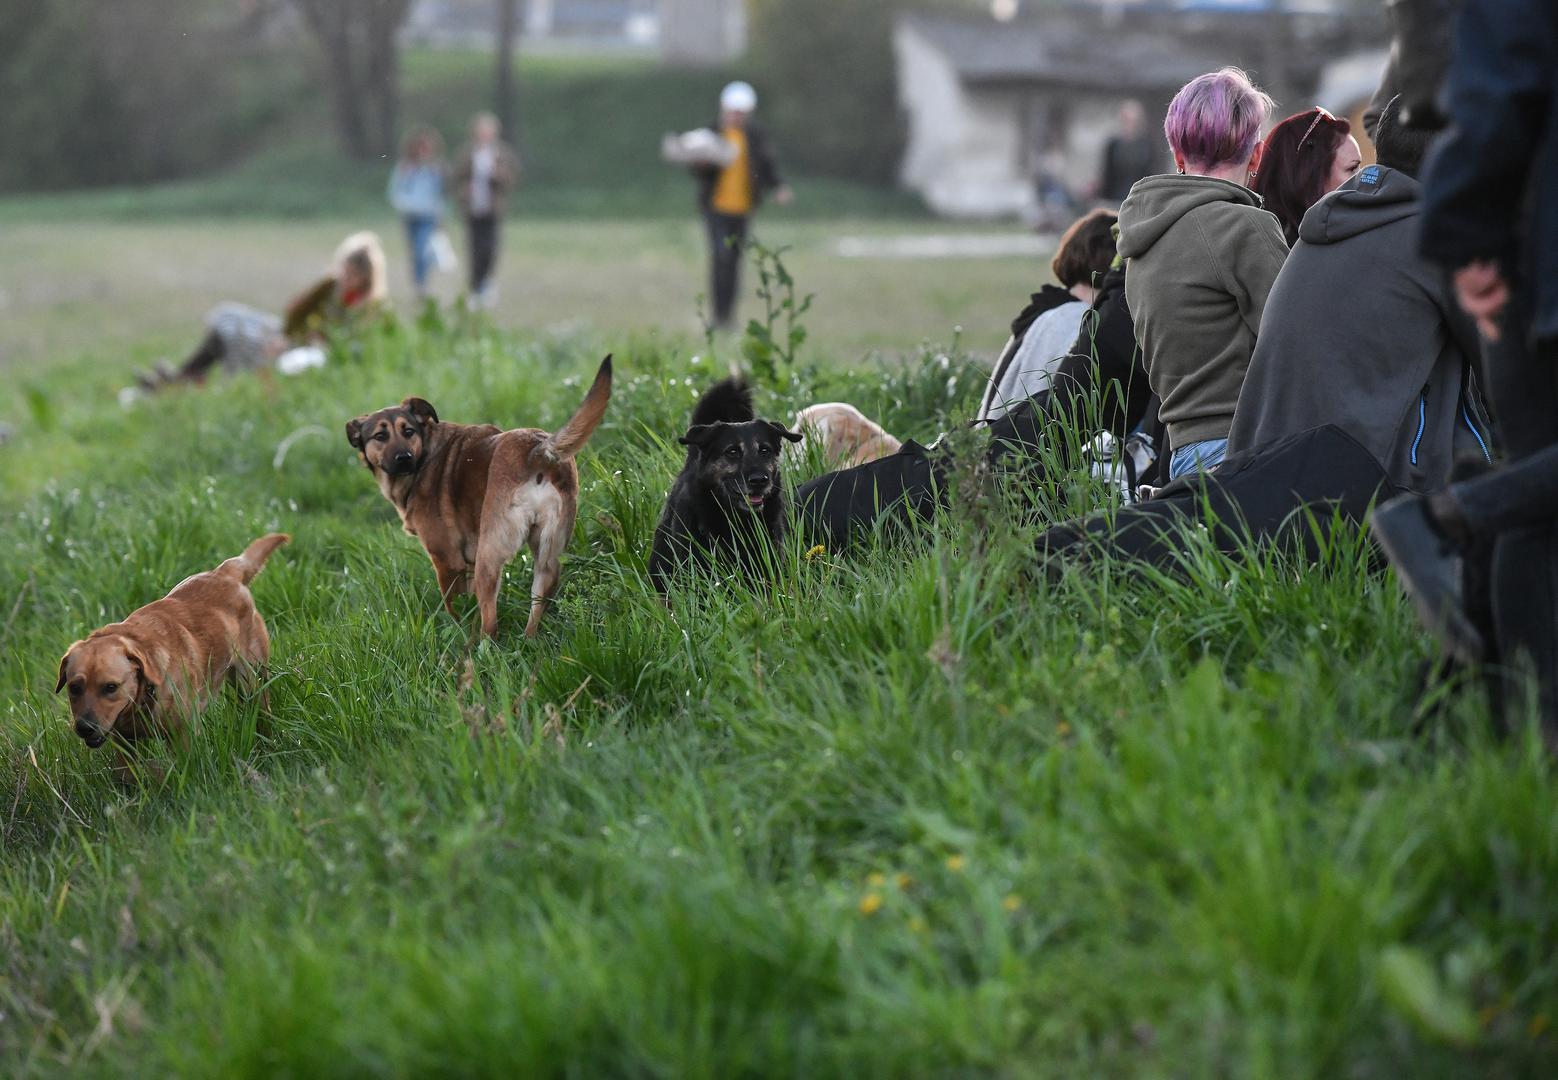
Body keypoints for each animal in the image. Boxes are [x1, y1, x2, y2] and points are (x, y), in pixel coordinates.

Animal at [56, 529, 289, 776]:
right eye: (74, 688)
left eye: (110, 687)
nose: (85, 727)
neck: (145, 695)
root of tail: (226, 571)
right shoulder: (124, 744)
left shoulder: (182, 736)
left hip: (252, 681)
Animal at [348, 358, 613, 635]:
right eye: (380, 436)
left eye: (408, 431)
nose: (403, 459)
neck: (426, 452)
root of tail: (538, 450)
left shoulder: (448, 561)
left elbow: (455, 608)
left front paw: (457, 629)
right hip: (547, 552)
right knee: (540, 596)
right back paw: (529, 638)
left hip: (489, 555)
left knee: (490, 624)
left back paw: (478, 643)